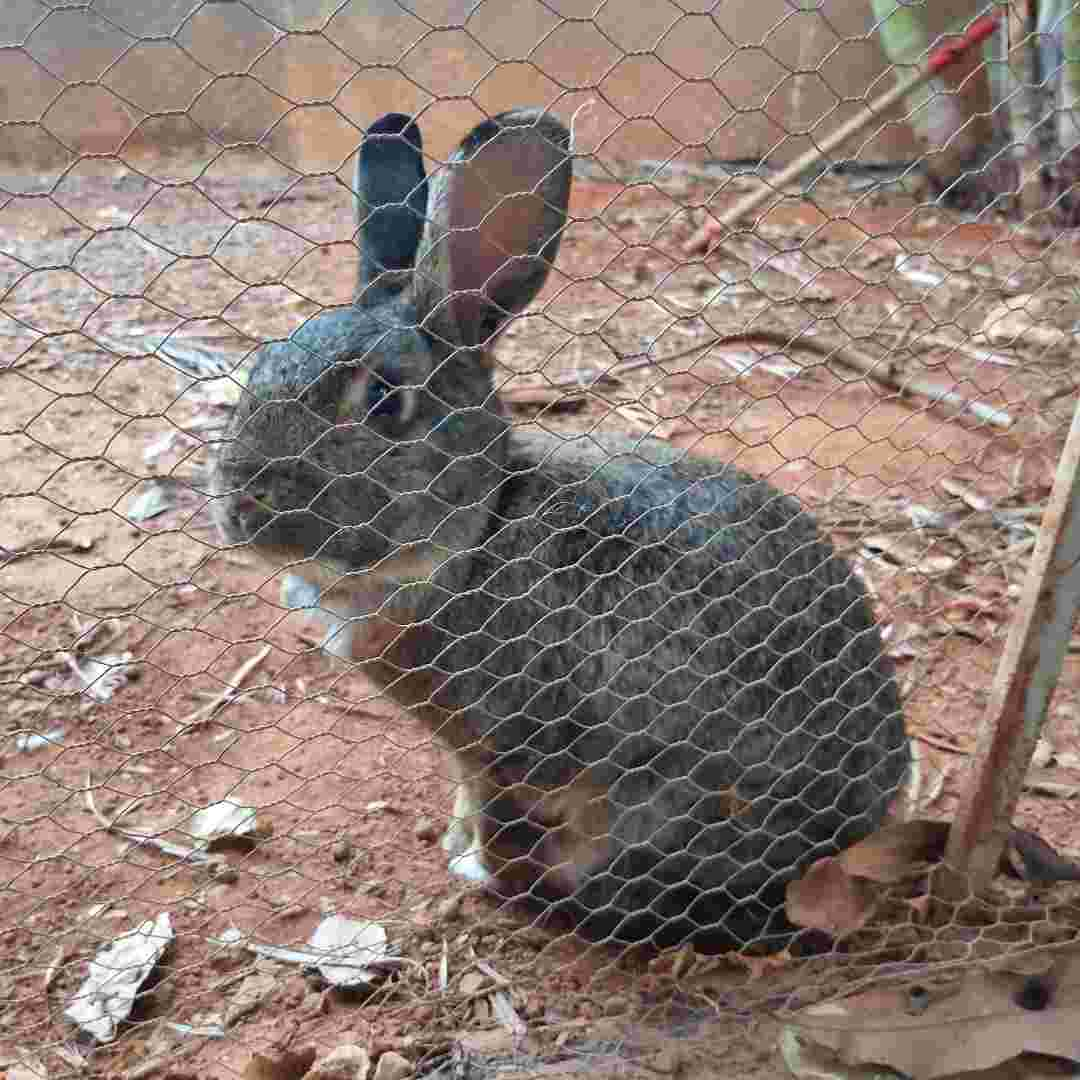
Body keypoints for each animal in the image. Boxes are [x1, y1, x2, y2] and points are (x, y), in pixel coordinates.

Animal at [212, 109, 911, 950]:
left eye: (382, 401)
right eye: (262, 365)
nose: (240, 505)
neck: (477, 535)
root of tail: (866, 820)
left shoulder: (510, 751)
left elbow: (503, 823)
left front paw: (481, 875)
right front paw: (455, 846)